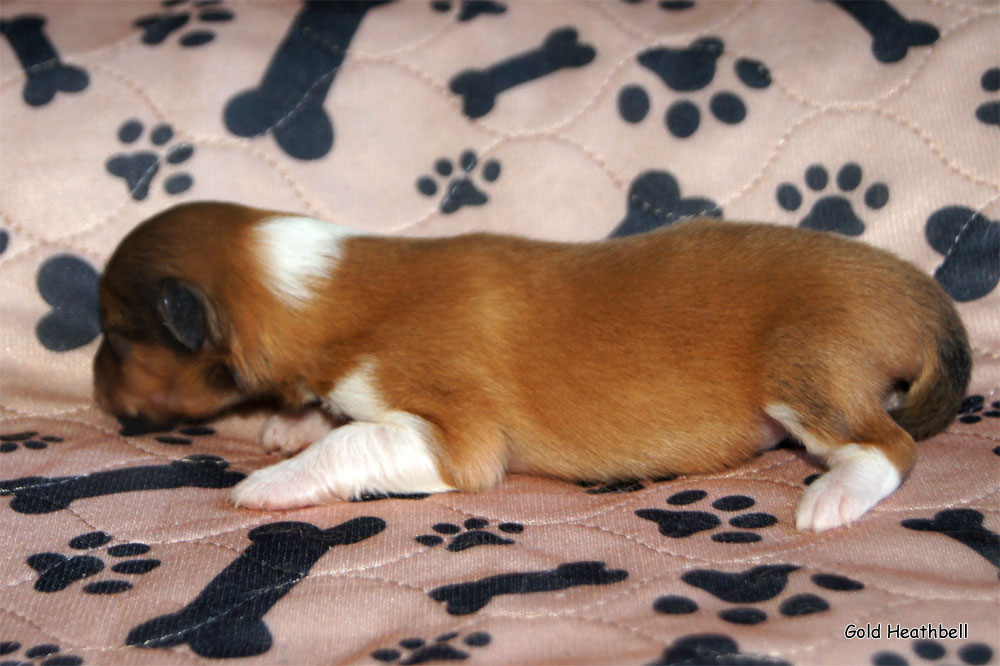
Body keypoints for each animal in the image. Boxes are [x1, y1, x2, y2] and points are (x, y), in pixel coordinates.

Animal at [94, 200, 968, 528]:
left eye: (116, 335)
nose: (97, 398)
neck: (326, 288)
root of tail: (911, 285)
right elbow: (334, 414)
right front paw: (285, 423)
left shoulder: (456, 438)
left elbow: (355, 439)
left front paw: (274, 478)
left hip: (801, 363)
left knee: (890, 445)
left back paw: (832, 497)